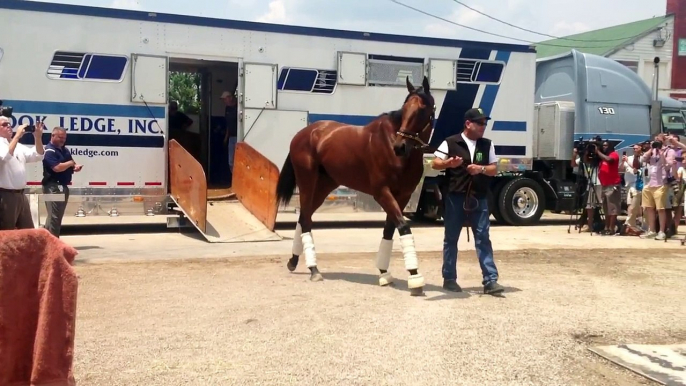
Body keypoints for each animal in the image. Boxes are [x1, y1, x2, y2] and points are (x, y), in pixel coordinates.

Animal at [274, 77, 436, 298]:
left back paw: (294, 261)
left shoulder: (403, 195)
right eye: (405, 109)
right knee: (305, 219)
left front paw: (384, 274)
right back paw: (314, 269)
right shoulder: (382, 193)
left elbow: (389, 230)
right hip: (307, 181)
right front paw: (414, 278)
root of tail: (303, 133)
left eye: (421, 109)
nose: (400, 147)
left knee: (304, 217)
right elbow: (403, 227)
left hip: (325, 186)